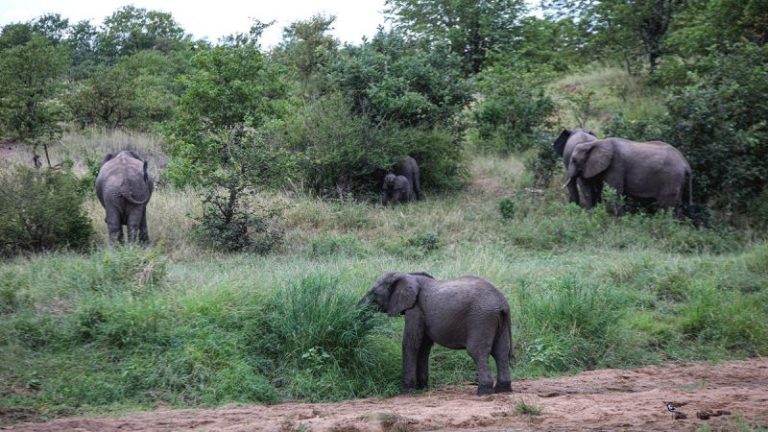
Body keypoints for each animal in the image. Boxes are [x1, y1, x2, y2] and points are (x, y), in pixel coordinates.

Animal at [357, 271, 513, 395]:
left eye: (374, 294)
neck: (408, 274)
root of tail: (503, 304)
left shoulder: (415, 309)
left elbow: (411, 343)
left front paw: (405, 392)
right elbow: (424, 346)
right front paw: (422, 389)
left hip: (481, 318)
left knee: (478, 351)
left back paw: (483, 392)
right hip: (499, 321)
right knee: (501, 352)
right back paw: (503, 390)